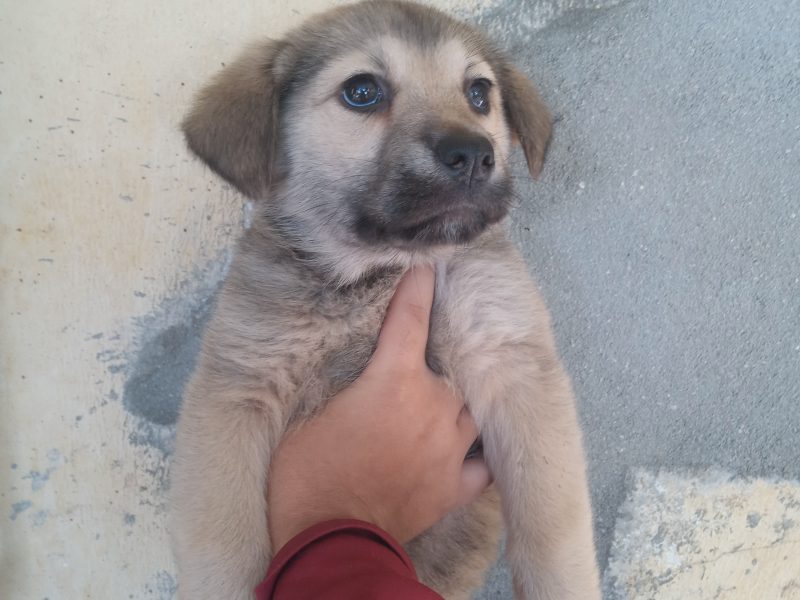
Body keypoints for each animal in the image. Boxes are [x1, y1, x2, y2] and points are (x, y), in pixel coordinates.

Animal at [170, 2, 600, 596]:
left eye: (478, 93)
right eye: (362, 91)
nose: (473, 154)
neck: (382, 269)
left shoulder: (512, 361)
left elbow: (554, 530)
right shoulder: (236, 391)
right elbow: (223, 546)